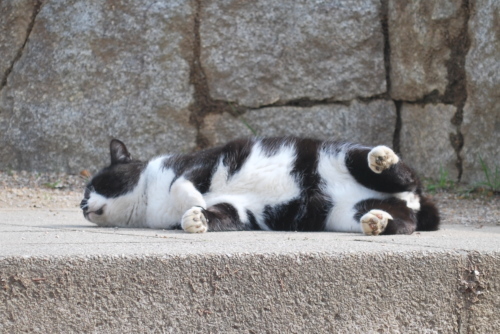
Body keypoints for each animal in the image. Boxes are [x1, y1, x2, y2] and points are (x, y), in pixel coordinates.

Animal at [80, 136, 440, 235]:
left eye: (94, 185)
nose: (82, 206)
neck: (148, 203)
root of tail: (418, 200)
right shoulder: (240, 210)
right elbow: (223, 214)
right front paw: (196, 218)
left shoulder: (201, 163)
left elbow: (182, 185)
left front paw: (195, 203)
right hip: (344, 214)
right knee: (405, 223)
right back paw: (378, 221)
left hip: (343, 157)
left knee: (402, 173)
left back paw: (382, 158)